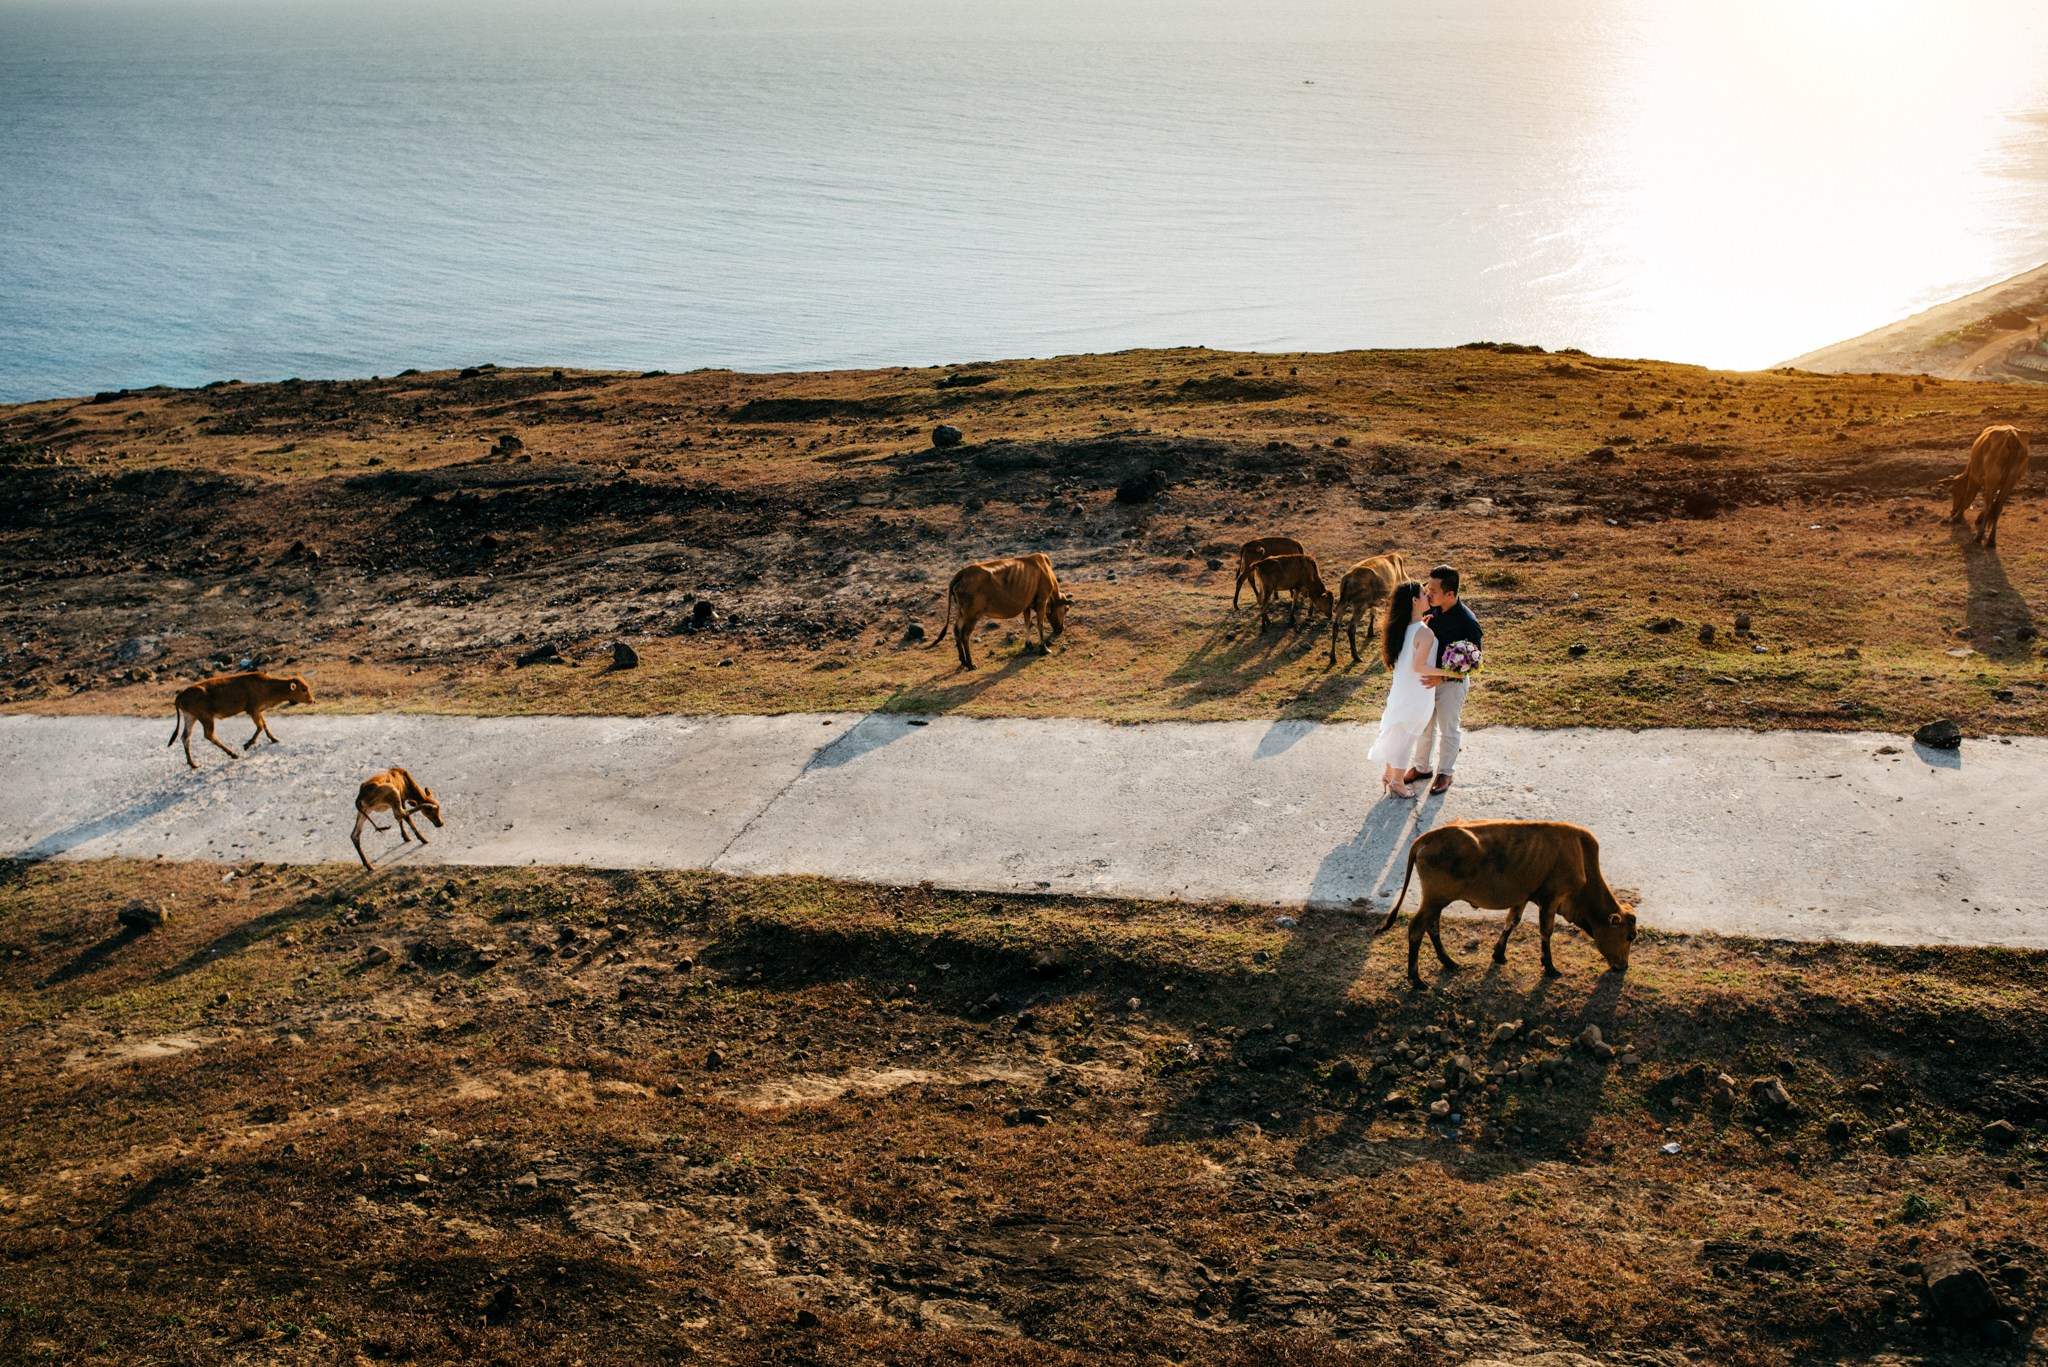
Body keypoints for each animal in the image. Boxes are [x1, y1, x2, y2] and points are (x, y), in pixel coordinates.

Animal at [167, 672, 313, 770]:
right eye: (303, 689)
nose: (312, 700)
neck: (266, 686)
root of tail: (182, 694)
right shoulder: (252, 710)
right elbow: (260, 726)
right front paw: (247, 745)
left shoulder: (258, 711)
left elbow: (264, 724)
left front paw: (274, 738)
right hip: (206, 718)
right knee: (209, 735)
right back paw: (233, 754)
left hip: (190, 717)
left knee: (186, 737)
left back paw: (193, 764)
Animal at [937, 549, 1081, 668]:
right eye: (1066, 609)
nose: (1061, 629)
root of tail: (962, 572)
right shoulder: (1042, 601)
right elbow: (1040, 624)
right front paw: (1044, 648)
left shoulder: (1026, 605)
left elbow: (1028, 623)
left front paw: (1028, 644)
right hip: (971, 615)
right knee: (965, 635)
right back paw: (970, 664)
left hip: (959, 612)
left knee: (956, 631)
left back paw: (962, 660)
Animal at [1376, 819, 1630, 987]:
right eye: (1630, 937)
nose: (1625, 966)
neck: (1581, 855)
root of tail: (1430, 836)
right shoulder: (1552, 898)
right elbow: (1546, 932)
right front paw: (1549, 967)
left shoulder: (1523, 896)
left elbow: (1512, 922)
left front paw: (1499, 954)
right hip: (1435, 898)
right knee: (1417, 928)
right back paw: (1416, 978)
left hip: (1436, 900)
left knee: (1432, 926)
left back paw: (1448, 962)